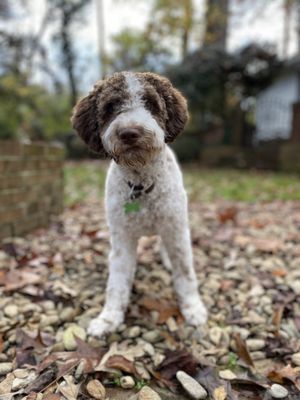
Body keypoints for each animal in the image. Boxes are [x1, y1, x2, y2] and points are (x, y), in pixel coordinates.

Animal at [72, 72, 209, 338]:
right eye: (110, 107)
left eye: (150, 103)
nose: (129, 132)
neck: (141, 185)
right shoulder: (122, 238)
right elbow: (117, 283)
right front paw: (108, 318)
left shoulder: (175, 228)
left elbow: (185, 272)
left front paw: (193, 309)